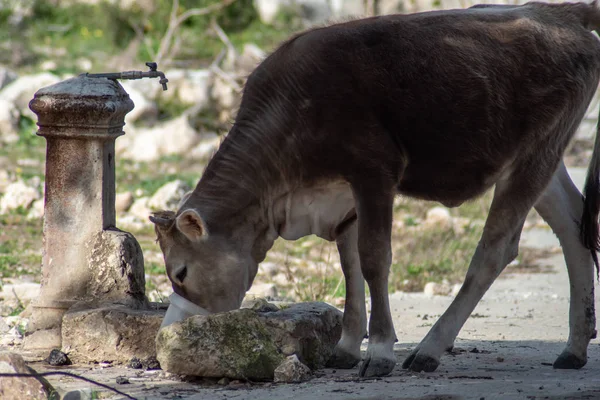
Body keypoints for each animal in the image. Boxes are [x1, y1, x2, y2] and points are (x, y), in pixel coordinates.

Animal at [152, 0, 600, 376]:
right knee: (572, 226)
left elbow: (373, 259)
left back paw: (430, 349)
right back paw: (574, 348)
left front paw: (381, 352)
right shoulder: (340, 196)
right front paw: (348, 348)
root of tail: (561, 11)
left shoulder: (374, 172)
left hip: (534, 152)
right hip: (543, 155)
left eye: (181, 271)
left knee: (496, 248)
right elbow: (349, 265)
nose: (167, 332)